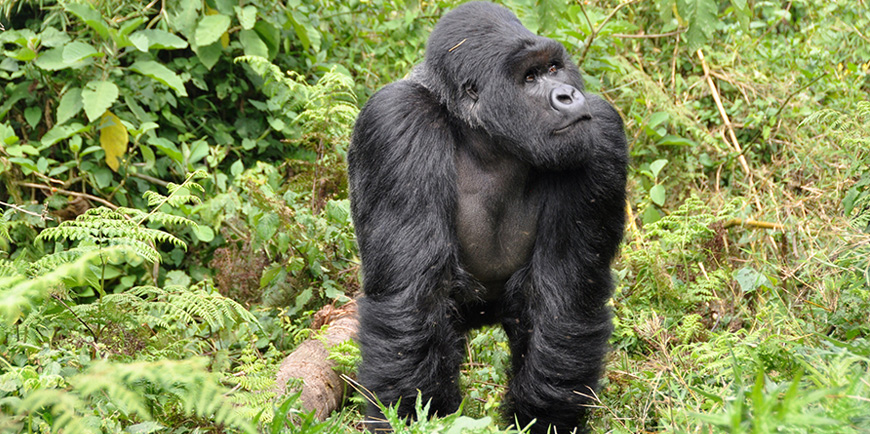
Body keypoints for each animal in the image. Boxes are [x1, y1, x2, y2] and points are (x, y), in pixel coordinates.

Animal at [346, 1, 628, 432]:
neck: (487, 138)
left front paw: (543, 419)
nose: (567, 95)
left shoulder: (601, 131)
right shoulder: (396, 121)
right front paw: (416, 416)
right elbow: (412, 298)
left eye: (553, 68)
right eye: (529, 77)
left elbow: (565, 300)